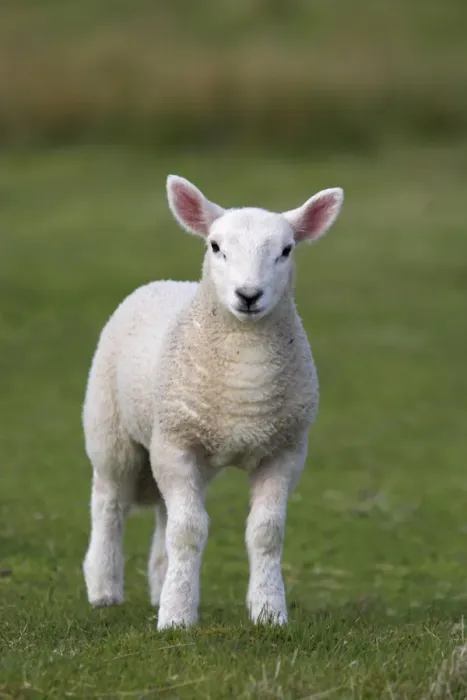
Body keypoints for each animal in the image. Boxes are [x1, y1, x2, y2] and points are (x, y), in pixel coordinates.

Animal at [82, 174, 344, 630]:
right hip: (111, 429)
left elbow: (265, 531)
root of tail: (164, 283)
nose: (249, 295)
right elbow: (189, 531)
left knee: (165, 511)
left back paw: (160, 584)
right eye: (216, 246)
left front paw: (268, 611)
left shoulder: (285, 450)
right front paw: (176, 619)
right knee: (109, 502)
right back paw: (104, 588)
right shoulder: (176, 443)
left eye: (286, 250)